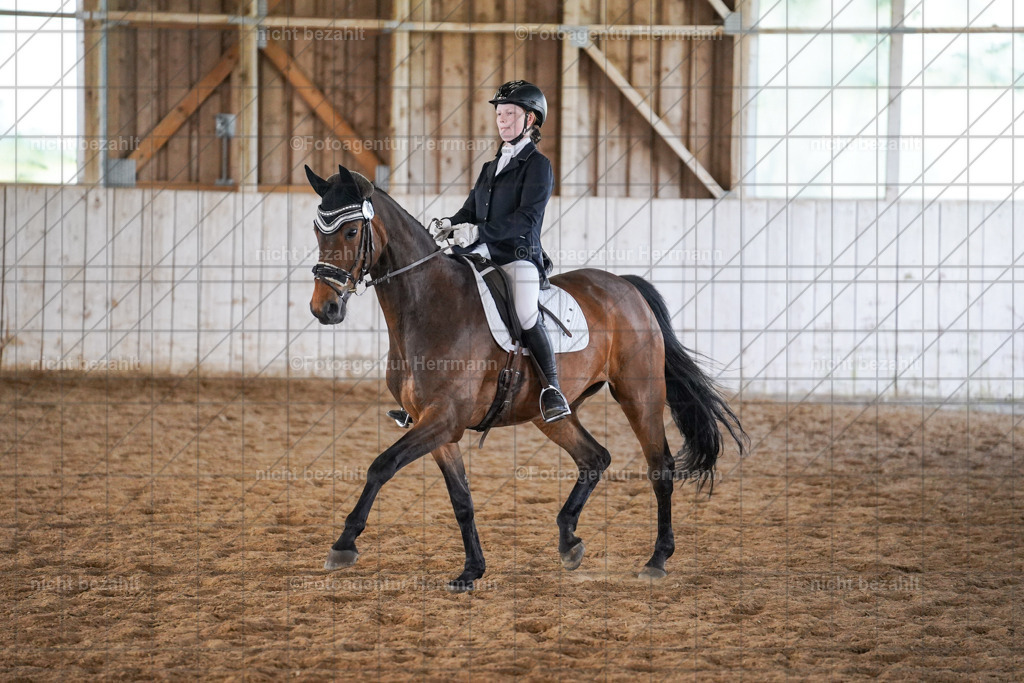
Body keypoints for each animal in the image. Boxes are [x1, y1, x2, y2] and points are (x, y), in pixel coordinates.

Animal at [304, 164, 746, 592]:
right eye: (317, 230)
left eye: (351, 230)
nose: (323, 309)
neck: (429, 306)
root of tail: (626, 286)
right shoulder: (439, 427)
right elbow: (461, 499)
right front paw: (472, 571)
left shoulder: (444, 418)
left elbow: (382, 465)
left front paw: (343, 545)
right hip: (548, 413)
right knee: (594, 457)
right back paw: (569, 541)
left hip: (639, 396)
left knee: (660, 468)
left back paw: (656, 560)